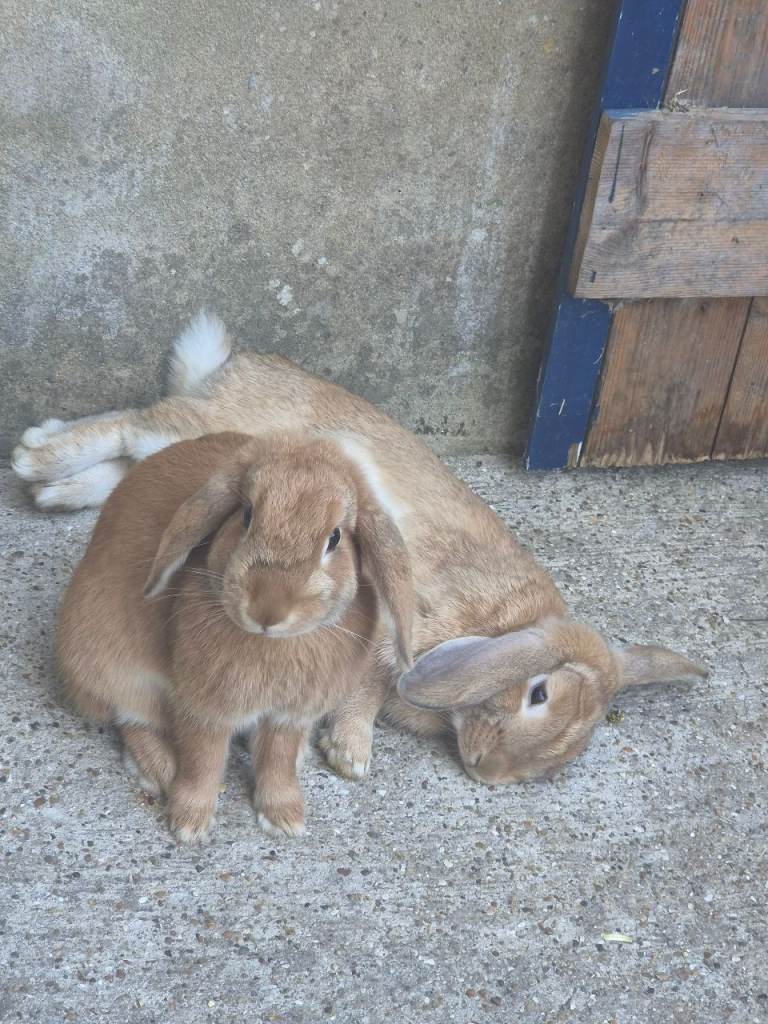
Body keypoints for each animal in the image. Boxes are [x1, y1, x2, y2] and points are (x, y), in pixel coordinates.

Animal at [22, 310, 706, 786]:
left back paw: (52, 487)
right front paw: (350, 754)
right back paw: (33, 455)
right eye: (537, 693)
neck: (501, 625)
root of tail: (236, 366)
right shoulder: (402, 615)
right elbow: (372, 681)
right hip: (204, 430)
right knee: (131, 424)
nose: (487, 773)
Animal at [56, 430, 413, 841]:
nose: (267, 610)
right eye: (246, 516)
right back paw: (160, 769)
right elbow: (203, 760)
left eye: (335, 538)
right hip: (115, 671)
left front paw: (284, 818)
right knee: (129, 718)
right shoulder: (205, 708)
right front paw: (189, 824)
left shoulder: (289, 715)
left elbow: (277, 760)